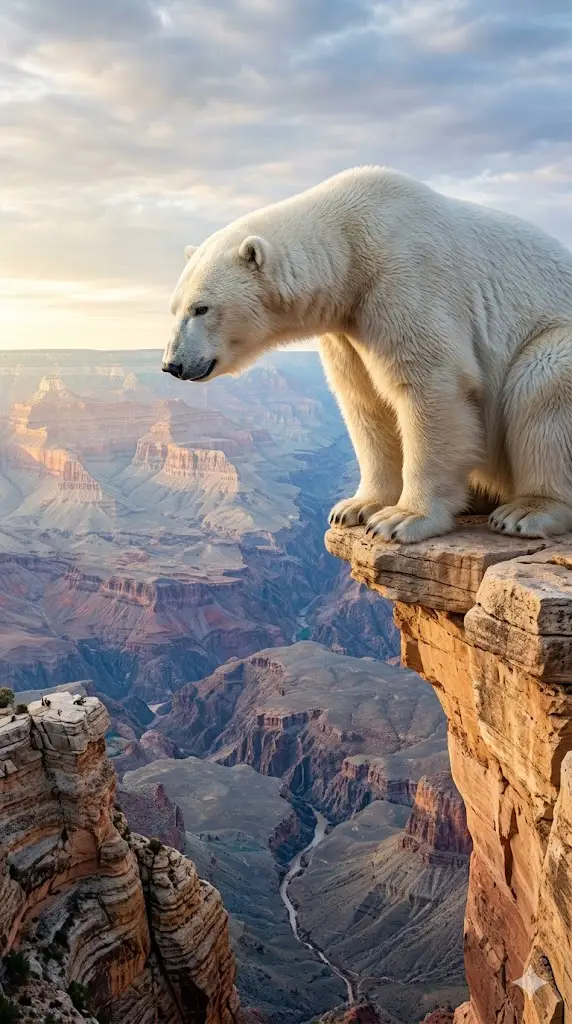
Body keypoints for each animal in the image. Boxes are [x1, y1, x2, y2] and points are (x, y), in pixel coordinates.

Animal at [162, 166, 572, 543]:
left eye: (201, 308)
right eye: (174, 308)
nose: (172, 364)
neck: (350, 244)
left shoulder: (407, 280)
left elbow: (430, 388)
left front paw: (403, 518)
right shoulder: (348, 325)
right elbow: (365, 401)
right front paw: (357, 507)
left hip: (552, 340)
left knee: (544, 381)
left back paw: (526, 511)